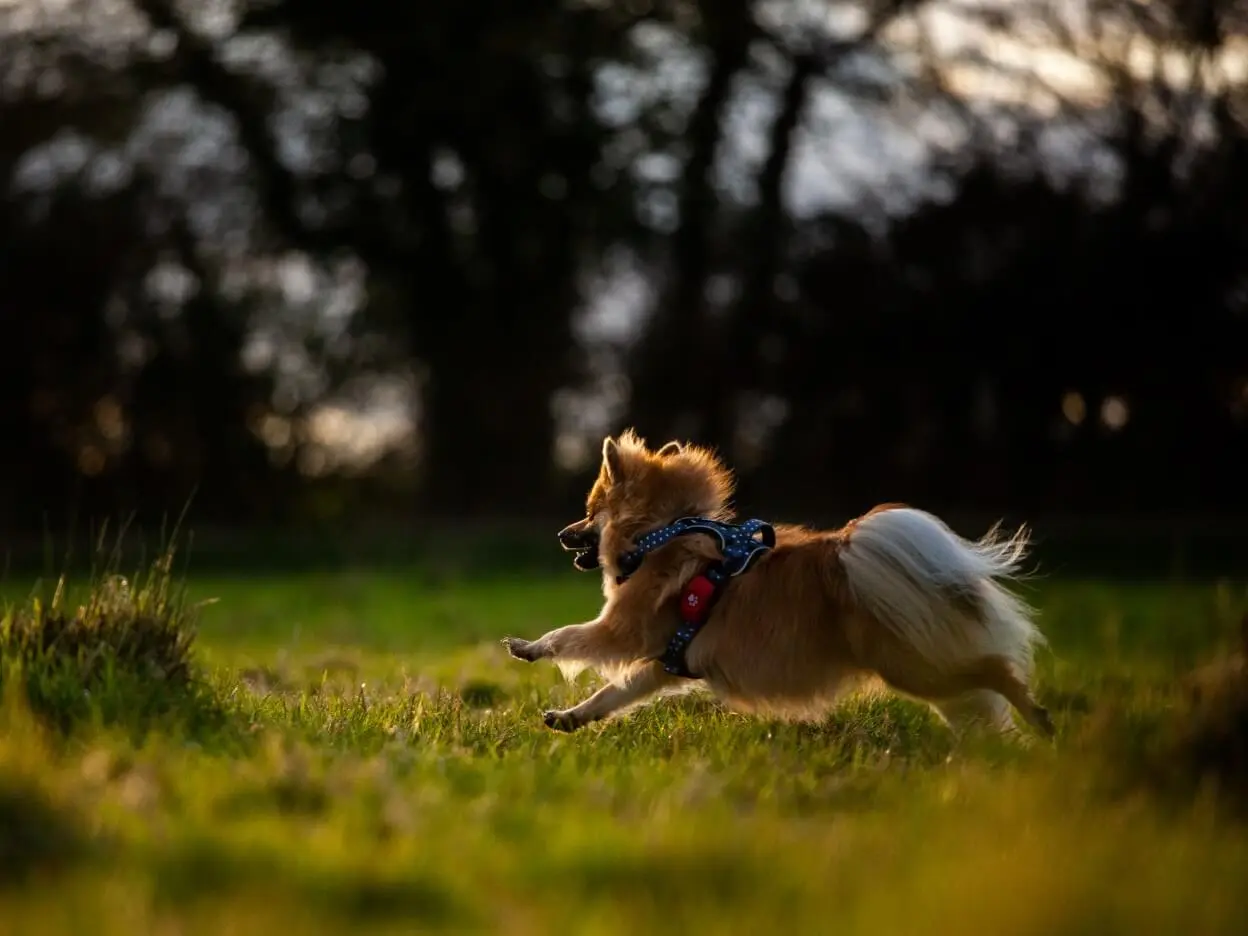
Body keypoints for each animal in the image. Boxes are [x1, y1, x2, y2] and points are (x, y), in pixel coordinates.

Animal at [501, 431, 1048, 738]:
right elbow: (613, 695)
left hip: (913, 667)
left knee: (997, 671)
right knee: (978, 702)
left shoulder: (624, 631)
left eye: (590, 512)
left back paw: (1041, 718)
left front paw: (528, 647)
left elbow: (568, 637)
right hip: (926, 669)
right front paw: (570, 717)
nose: (562, 533)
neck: (662, 534)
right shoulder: (666, 661)